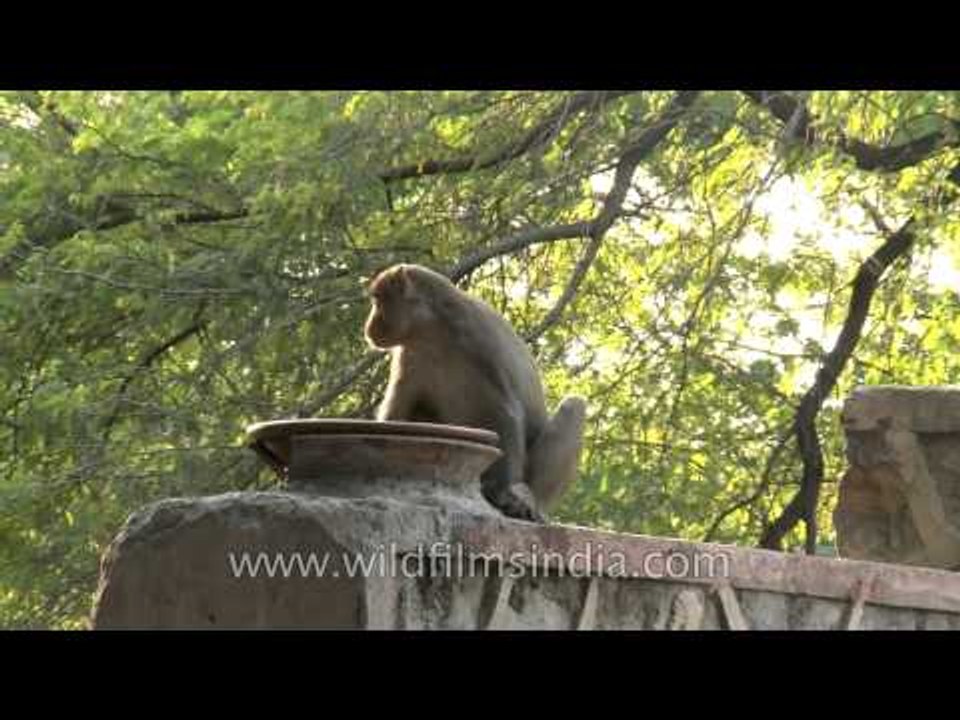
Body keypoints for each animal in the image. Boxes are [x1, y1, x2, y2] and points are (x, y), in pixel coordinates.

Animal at [363, 263, 586, 523]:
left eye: (378, 301)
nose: (368, 327)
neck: (432, 332)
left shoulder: (477, 341)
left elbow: (506, 414)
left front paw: (504, 492)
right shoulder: (408, 356)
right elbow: (397, 413)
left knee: (574, 405)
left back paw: (532, 499)